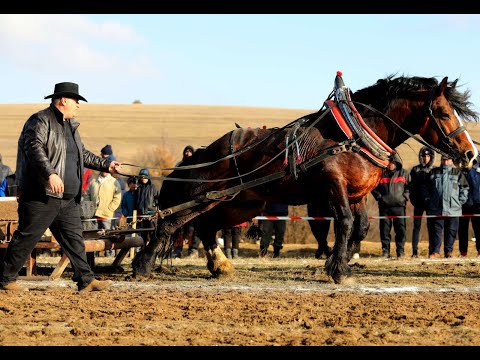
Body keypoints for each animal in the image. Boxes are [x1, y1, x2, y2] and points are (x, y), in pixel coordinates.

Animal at [132, 74, 480, 284]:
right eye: (443, 113)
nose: (470, 153)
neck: (353, 134)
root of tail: (204, 152)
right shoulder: (333, 185)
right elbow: (345, 222)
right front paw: (338, 269)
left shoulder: (358, 193)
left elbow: (359, 226)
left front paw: (341, 263)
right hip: (205, 194)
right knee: (170, 224)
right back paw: (142, 265)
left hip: (238, 202)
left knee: (206, 227)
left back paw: (220, 265)